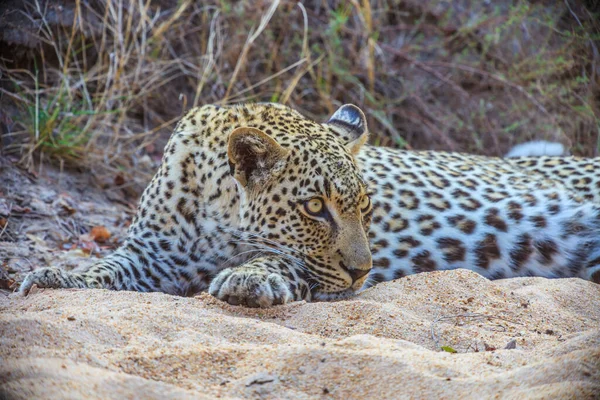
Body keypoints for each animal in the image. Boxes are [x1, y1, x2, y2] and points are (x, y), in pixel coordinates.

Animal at [18, 102, 600, 306]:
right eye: (315, 208)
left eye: (367, 210)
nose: (363, 272)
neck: (216, 217)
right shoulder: (150, 254)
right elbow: (105, 267)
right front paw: (56, 276)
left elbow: (286, 262)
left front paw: (249, 278)